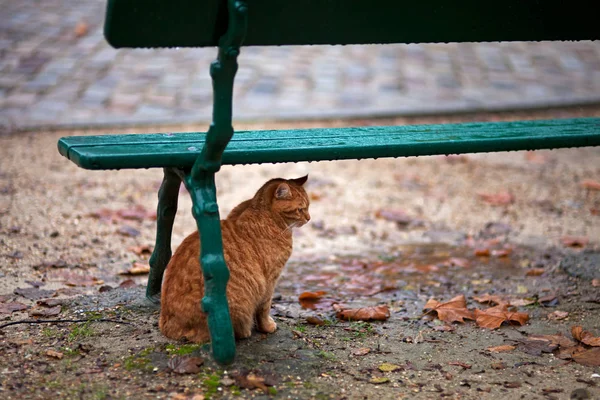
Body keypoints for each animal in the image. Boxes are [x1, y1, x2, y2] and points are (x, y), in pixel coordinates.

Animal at [159, 177, 310, 342]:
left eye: (308, 206)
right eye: (300, 209)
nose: (309, 218)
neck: (264, 214)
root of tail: (168, 326)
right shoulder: (269, 281)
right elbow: (264, 308)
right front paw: (267, 326)